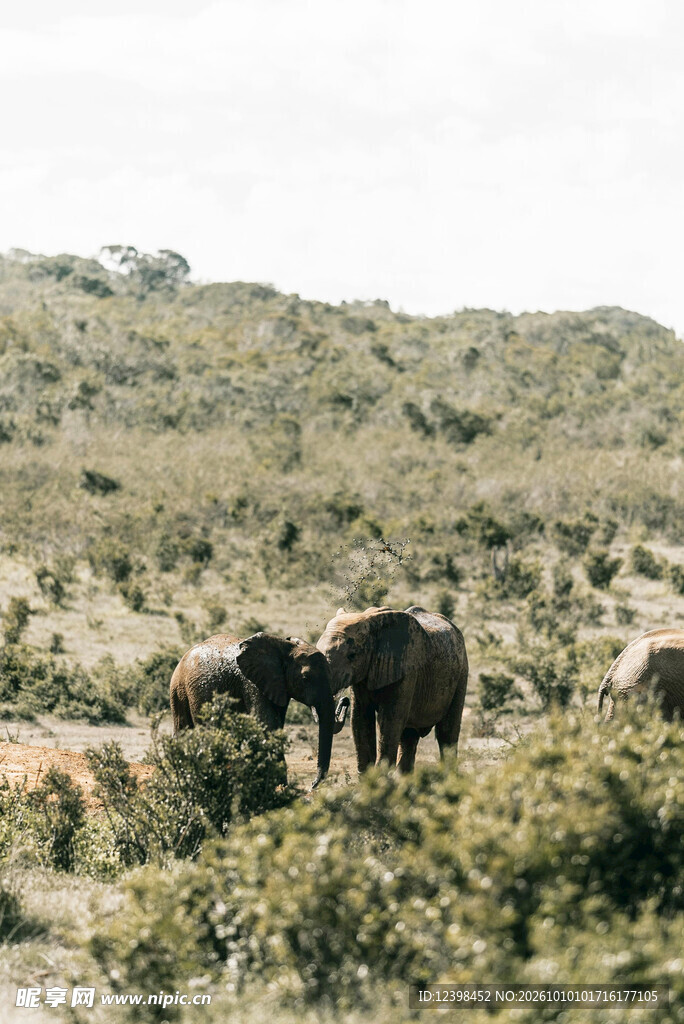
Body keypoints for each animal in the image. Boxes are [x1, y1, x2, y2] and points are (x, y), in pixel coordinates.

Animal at [170, 632, 349, 788]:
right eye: (305, 678)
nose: (312, 785)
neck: (285, 649)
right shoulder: (252, 683)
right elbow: (267, 725)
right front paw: (280, 790)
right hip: (179, 689)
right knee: (183, 730)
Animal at [316, 605, 468, 773]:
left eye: (352, 655)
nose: (343, 701)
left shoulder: (406, 670)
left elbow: (389, 720)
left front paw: (379, 778)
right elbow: (360, 718)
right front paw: (369, 779)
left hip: (461, 673)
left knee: (447, 732)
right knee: (409, 737)